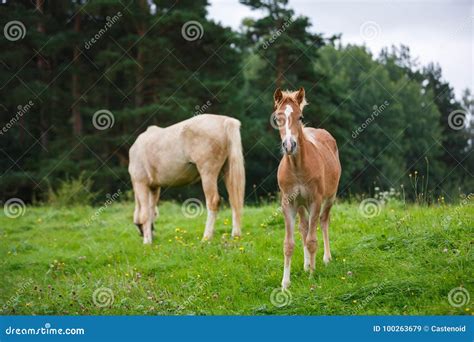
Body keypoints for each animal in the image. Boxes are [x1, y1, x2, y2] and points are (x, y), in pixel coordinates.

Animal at [128, 114, 244, 243]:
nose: (143, 233)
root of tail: (225, 121)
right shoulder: (154, 188)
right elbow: (151, 210)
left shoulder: (141, 183)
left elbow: (145, 214)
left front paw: (147, 242)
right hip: (228, 171)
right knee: (234, 200)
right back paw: (236, 235)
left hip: (208, 173)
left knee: (213, 201)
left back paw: (206, 238)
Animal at [274, 86, 340, 288]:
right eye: (277, 118)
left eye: (300, 117)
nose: (289, 145)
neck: (297, 167)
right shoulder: (288, 203)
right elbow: (288, 244)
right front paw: (285, 283)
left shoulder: (315, 200)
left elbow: (312, 240)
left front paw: (312, 275)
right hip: (301, 204)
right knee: (304, 226)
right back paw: (306, 264)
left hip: (329, 197)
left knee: (323, 221)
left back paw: (325, 259)